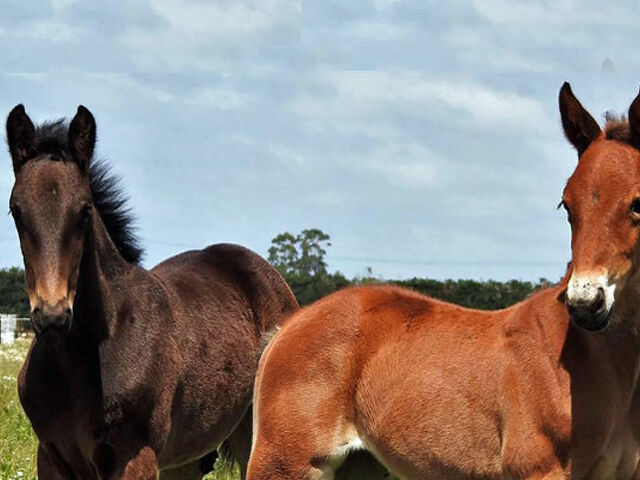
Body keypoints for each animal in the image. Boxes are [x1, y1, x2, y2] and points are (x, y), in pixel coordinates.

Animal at [6, 105, 299, 479]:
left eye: (85, 210)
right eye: (16, 210)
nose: (52, 316)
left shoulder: (136, 456)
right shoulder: (51, 455)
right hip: (188, 456)